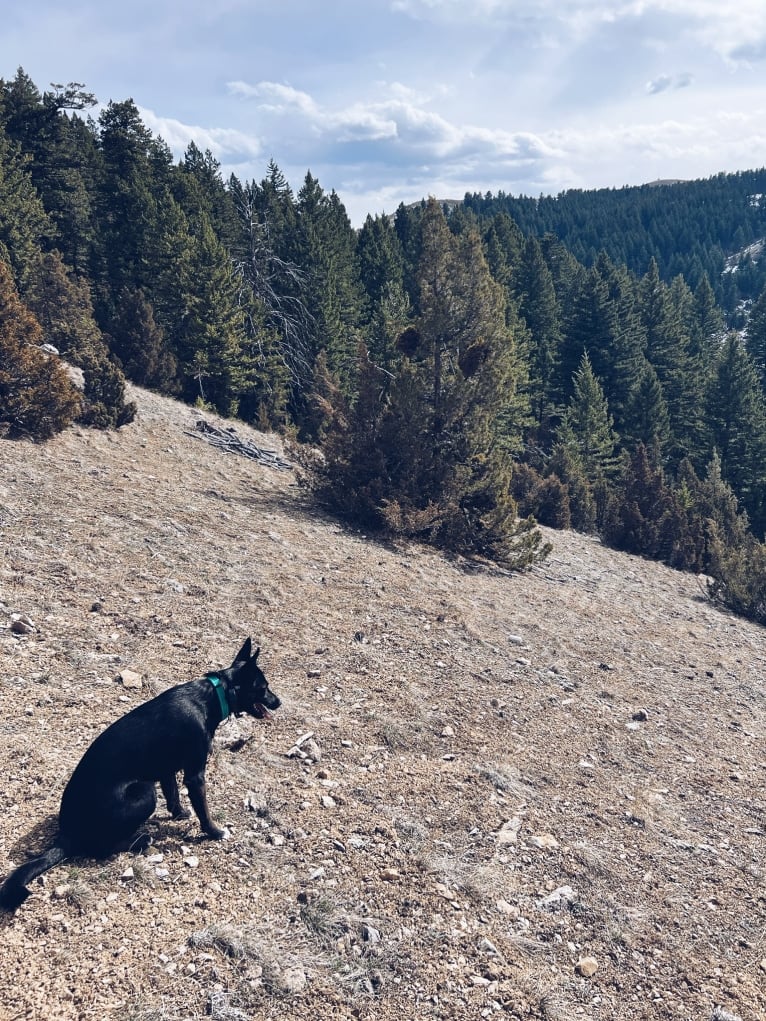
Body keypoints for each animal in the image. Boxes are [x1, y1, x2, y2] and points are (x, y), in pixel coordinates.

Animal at [0, 637, 279, 910]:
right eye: (263, 687)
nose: (279, 702)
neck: (214, 694)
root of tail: (66, 836)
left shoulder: (167, 769)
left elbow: (173, 795)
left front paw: (180, 814)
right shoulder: (195, 774)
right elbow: (203, 809)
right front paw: (215, 832)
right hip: (144, 793)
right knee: (100, 848)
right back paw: (140, 840)